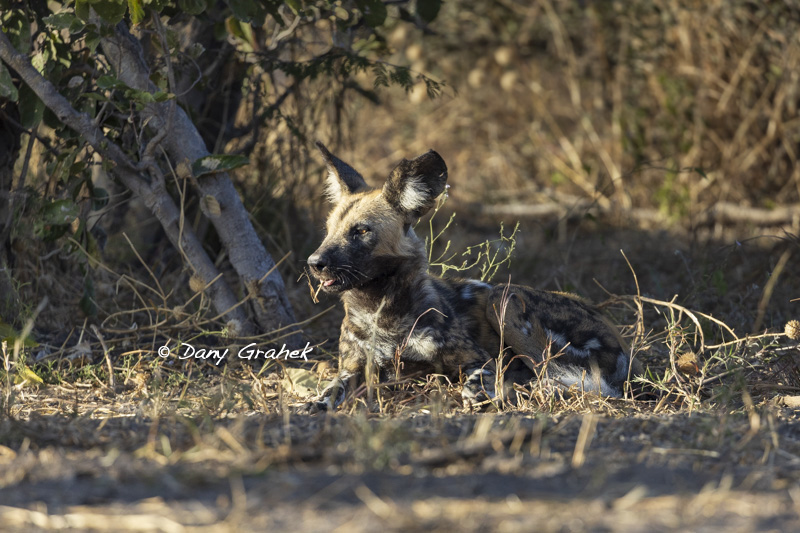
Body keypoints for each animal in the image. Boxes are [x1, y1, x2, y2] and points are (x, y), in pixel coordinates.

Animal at [304, 142, 640, 412]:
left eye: (361, 231)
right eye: (328, 230)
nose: (314, 263)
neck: (380, 311)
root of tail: (619, 337)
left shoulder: (478, 361)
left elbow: (474, 383)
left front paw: (480, 395)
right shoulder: (353, 367)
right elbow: (333, 388)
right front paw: (318, 402)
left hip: (502, 298)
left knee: (566, 379)